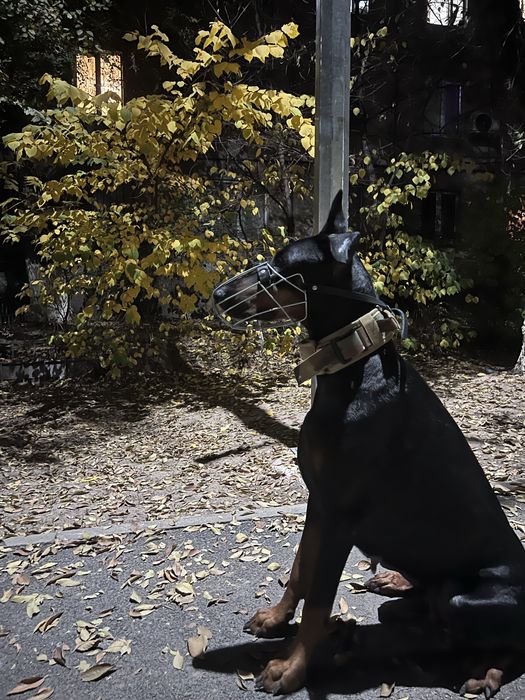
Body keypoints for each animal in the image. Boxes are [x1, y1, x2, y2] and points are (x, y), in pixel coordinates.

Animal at [212, 191, 525, 697]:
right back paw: (390, 595)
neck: (351, 368)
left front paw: (290, 667)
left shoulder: (341, 513)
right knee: (418, 613)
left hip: (468, 599)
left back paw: (483, 671)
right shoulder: (318, 501)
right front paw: (276, 619)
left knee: (502, 641)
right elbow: (300, 569)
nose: (219, 295)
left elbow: (320, 598)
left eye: (282, 268)